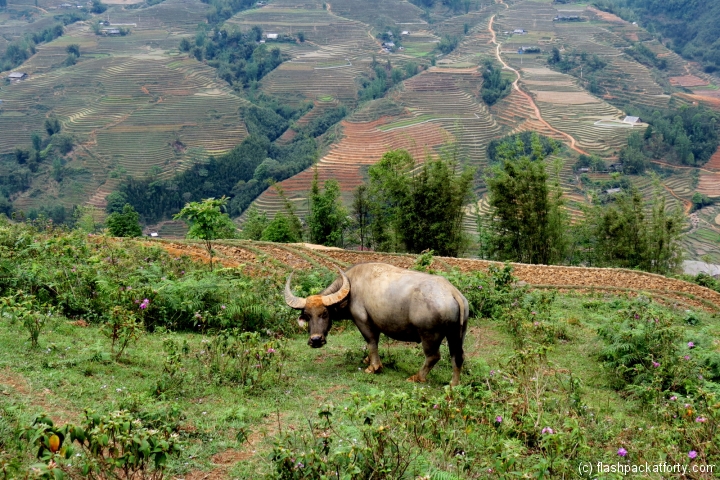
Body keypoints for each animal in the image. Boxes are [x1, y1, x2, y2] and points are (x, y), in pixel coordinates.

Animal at [284, 263, 469, 386]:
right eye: (307, 316)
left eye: (324, 314)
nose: (315, 340)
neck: (351, 290)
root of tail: (453, 293)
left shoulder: (363, 322)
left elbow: (371, 342)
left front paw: (373, 367)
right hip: (456, 334)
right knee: (457, 356)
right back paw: (453, 384)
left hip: (429, 335)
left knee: (433, 356)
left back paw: (417, 377)